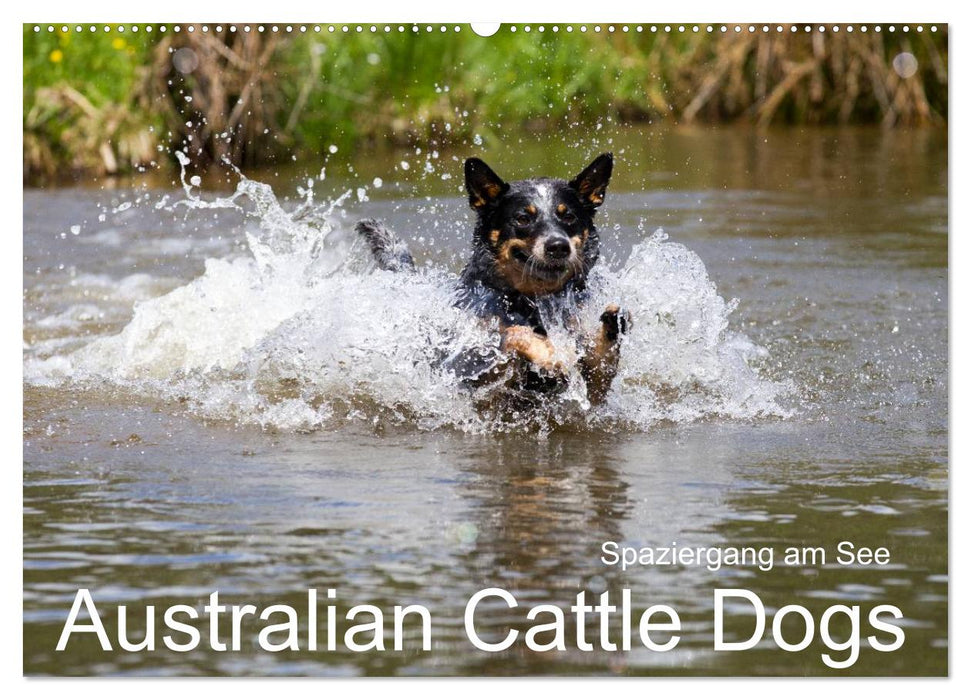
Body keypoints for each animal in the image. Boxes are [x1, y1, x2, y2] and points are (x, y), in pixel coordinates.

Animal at [356, 152, 632, 404]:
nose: (558, 246)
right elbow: (512, 334)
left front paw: (614, 324)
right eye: (523, 218)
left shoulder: (594, 388)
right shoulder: (466, 372)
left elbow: (600, 362)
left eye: (568, 216)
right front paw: (549, 355)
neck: (530, 302)